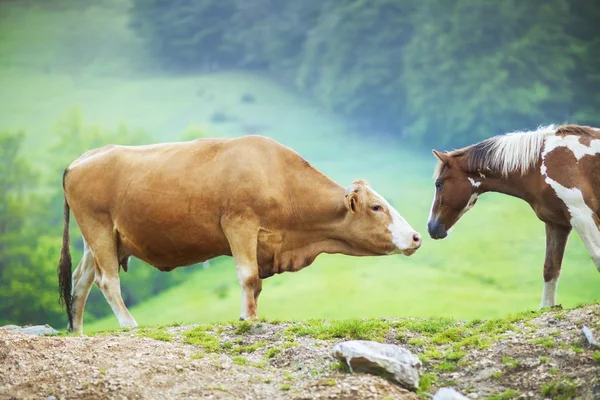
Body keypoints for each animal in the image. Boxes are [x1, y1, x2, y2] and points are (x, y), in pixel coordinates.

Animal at [58, 136, 420, 332]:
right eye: (377, 207)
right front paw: (248, 318)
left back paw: (76, 330)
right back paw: (129, 324)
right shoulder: (240, 224)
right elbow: (249, 278)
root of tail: (82, 159)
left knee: (80, 280)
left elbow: (255, 283)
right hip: (98, 228)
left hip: (100, 239)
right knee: (107, 281)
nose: (416, 236)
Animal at [426, 125, 600, 310]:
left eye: (439, 184)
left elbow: (597, 257)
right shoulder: (557, 224)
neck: (539, 166)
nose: (431, 226)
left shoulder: (582, 216)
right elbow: (550, 269)